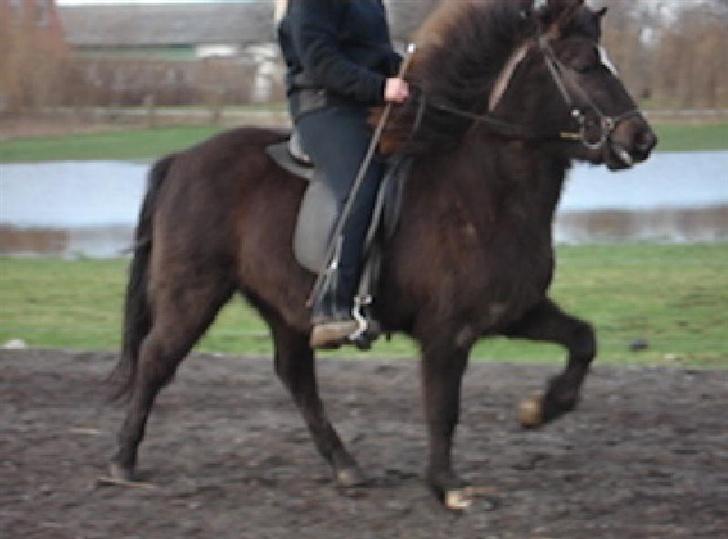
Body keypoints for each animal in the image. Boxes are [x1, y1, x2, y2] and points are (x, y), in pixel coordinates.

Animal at [109, 0, 660, 510]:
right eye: (582, 64)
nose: (642, 139)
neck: (484, 188)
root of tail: (181, 160)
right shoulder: (447, 332)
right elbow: (443, 408)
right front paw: (449, 487)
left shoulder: (514, 311)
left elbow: (583, 340)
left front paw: (540, 409)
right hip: (193, 293)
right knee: (156, 360)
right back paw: (122, 462)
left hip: (282, 306)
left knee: (296, 377)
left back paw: (346, 467)